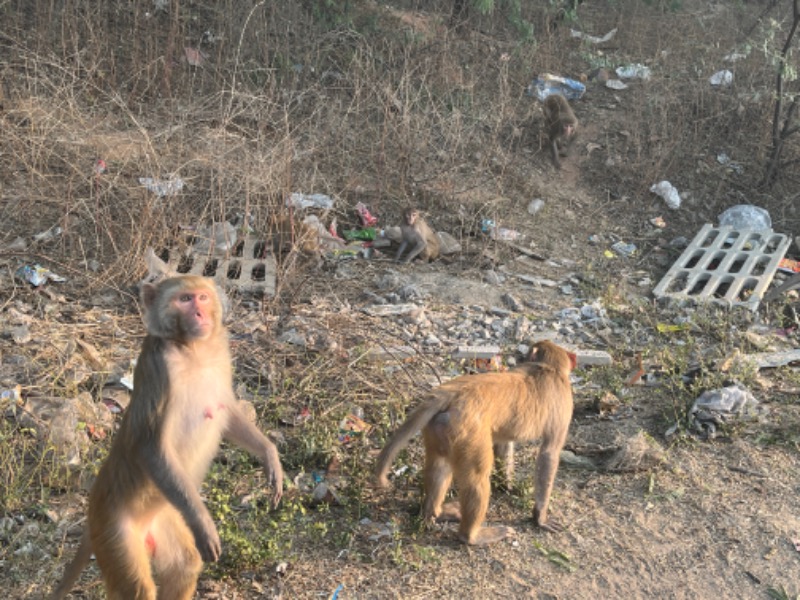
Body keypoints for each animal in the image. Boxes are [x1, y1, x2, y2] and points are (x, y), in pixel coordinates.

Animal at [50, 276, 284, 600]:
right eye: (184, 299)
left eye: (202, 297)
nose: (199, 313)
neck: (192, 350)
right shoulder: (159, 370)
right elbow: (151, 447)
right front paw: (205, 526)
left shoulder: (221, 355)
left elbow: (227, 411)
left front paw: (270, 455)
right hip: (113, 531)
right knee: (136, 588)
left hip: (167, 517)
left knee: (184, 565)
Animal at [376, 340, 576, 548]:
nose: (521, 357)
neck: (550, 367)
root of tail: (451, 394)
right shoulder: (565, 403)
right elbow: (549, 454)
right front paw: (540, 517)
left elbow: (505, 445)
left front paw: (507, 486)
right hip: (467, 433)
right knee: (478, 476)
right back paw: (471, 536)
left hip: (440, 427)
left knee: (440, 465)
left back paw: (434, 513)